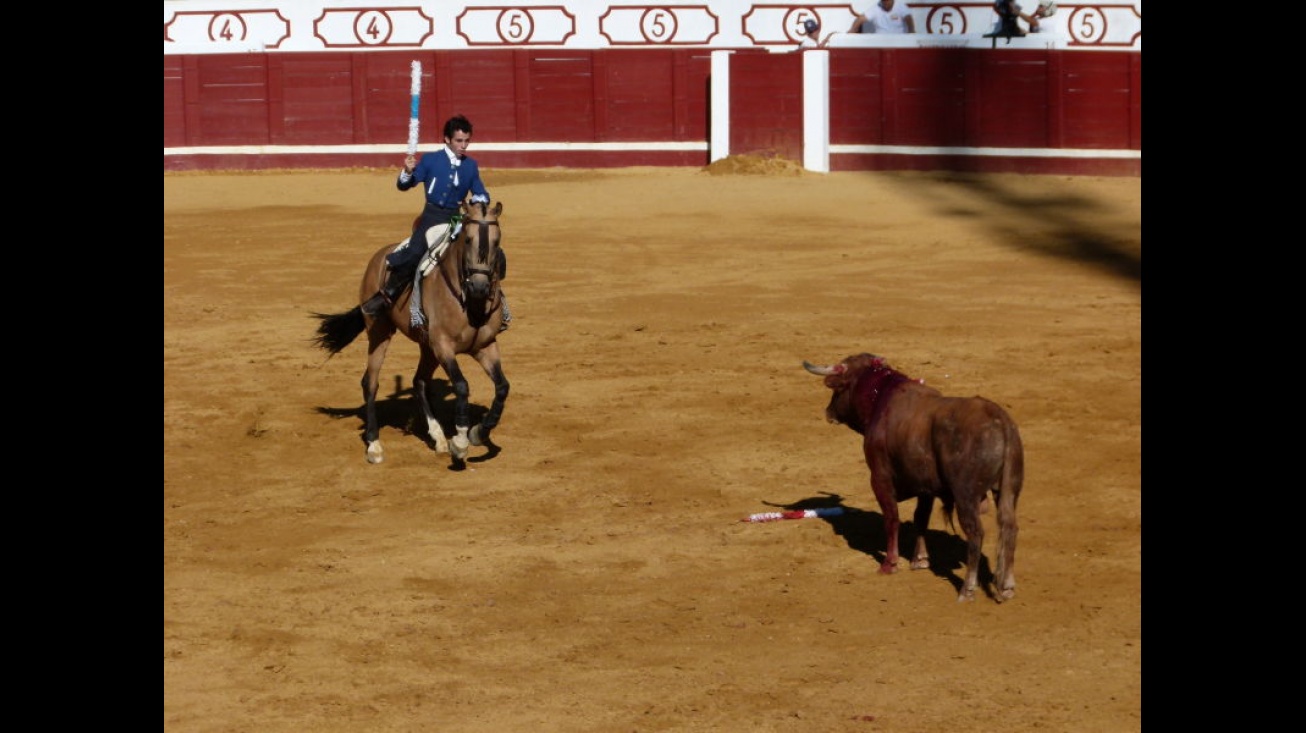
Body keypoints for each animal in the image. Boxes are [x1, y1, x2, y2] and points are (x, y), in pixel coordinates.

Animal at [310, 198, 509, 462]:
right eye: (467, 239)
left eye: (497, 241)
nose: (479, 286)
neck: (471, 303)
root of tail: (380, 256)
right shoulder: (444, 346)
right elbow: (462, 385)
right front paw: (460, 441)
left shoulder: (485, 346)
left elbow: (502, 387)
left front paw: (478, 432)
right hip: (380, 332)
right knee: (370, 382)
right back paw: (374, 444)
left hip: (426, 346)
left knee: (420, 381)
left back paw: (437, 436)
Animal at [799, 352, 1023, 601]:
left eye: (838, 388)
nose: (828, 412)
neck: (881, 399)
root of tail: (1001, 421)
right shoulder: (926, 488)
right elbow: (920, 518)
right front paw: (920, 560)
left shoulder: (880, 478)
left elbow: (892, 518)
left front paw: (890, 564)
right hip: (1008, 490)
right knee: (1009, 528)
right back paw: (1006, 586)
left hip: (965, 496)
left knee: (975, 533)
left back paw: (967, 589)